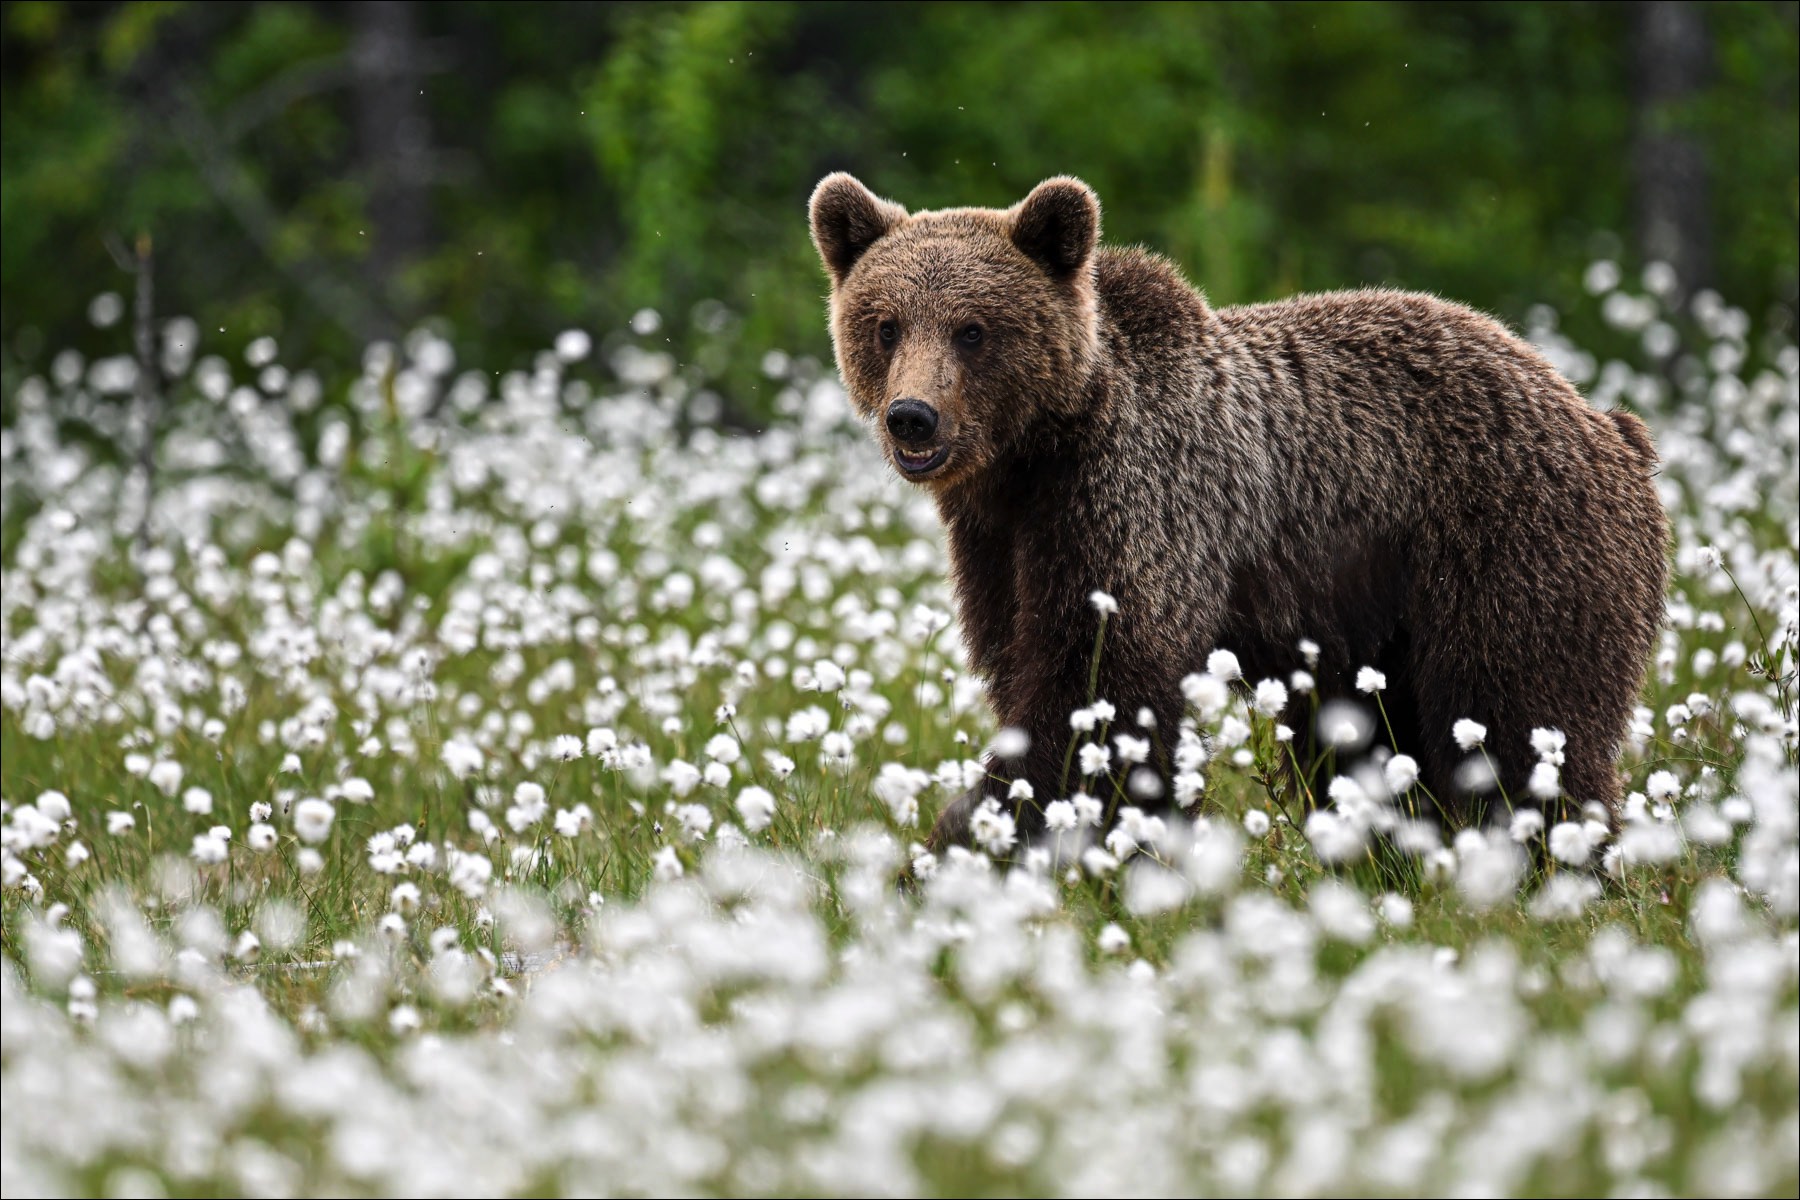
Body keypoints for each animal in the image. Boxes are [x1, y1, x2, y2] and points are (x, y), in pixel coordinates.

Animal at [810, 173, 1663, 849]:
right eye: (884, 324)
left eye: (973, 329)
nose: (913, 418)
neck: (1032, 459)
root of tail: (1605, 419)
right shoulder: (1000, 545)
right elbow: (1030, 669)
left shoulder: (1135, 500)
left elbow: (1097, 682)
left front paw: (978, 831)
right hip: (1376, 618)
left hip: (1507, 545)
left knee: (1520, 720)